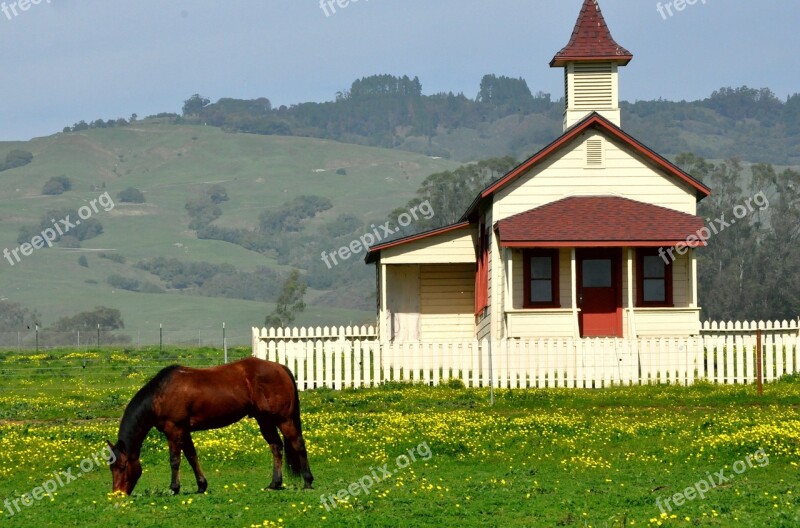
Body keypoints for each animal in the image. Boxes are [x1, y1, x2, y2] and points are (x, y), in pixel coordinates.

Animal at [108, 356, 314, 498]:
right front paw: (201, 486)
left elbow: (175, 460)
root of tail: (281, 368)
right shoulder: (184, 431)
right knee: (276, 447)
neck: (161, 394)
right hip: (264, 420)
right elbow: (192, 457)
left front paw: (174, 488)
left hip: (284, 418)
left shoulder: (174, 430)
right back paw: (275, 483)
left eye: (122, 466)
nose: (117, 494)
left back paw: (307, 481)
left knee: (298, 444)